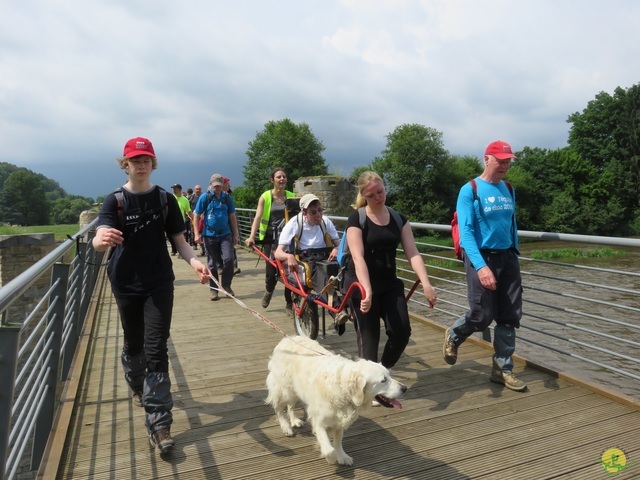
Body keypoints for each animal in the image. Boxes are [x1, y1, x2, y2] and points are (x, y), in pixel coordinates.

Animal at [264, 336, 404, 466]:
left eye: (390, 375)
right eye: (383, 380)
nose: (405, 388)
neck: (342, 388)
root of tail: (286, 339)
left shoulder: (339, 420)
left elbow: (338, 442)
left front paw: (342, 456)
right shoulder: (319, 422)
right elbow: (329, 449)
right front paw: (331, 458)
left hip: (295, 390)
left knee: (290, 406)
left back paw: (294, 420)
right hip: (285, 390)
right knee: (278, 408)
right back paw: (286, 427)